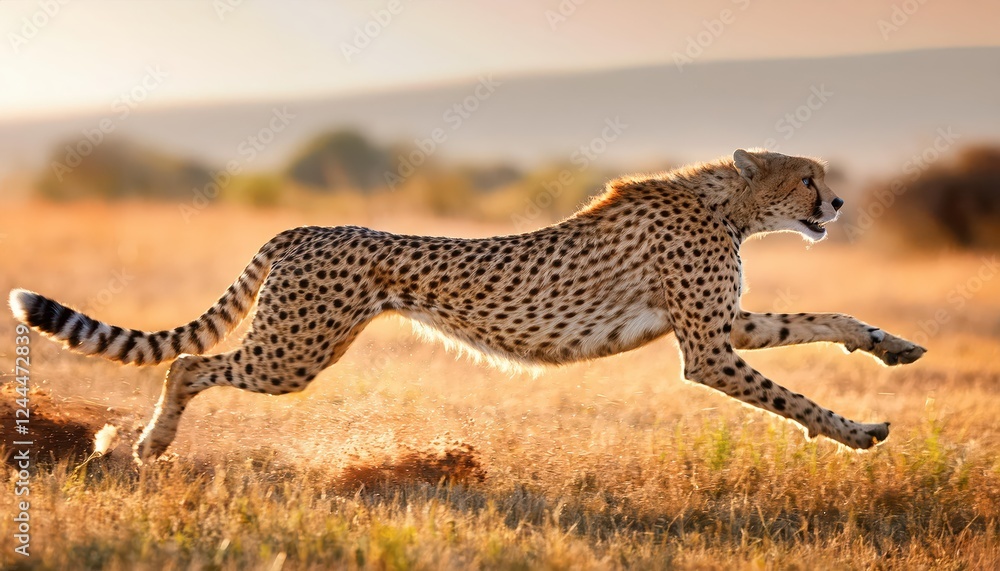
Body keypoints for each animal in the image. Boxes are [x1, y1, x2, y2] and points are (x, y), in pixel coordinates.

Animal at [9, 149, 926, 464]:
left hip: (293, 348)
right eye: (806, 175)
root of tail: (305, 224)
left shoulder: (722, 324)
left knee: (188, 357)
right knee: (187, 358)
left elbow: (824, 321)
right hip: (291, 353)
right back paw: (147, 443)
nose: (837, 202)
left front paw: (892, 348)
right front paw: (856, 432)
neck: (726, 202)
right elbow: (791, 395)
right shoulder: (705, 347)